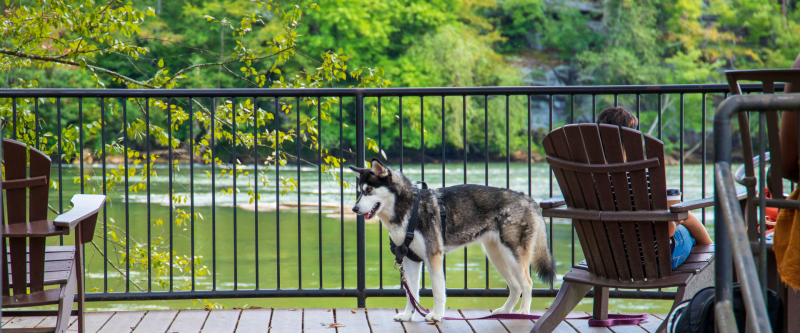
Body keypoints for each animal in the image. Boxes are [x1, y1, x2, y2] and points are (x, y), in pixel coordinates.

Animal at [350, 158, 556, 322]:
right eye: (359, 192)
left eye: (369, 190)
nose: (354, 209)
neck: (409, 210)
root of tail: (527, 198)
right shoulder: (410, 260)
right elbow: (411, 294)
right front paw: (408, 315)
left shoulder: (433, 256)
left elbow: (438, 291)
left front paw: (436, 315)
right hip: (497, 256)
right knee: (515, 287)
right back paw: (505, 311)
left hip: (513, 255)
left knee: (527, 284)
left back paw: (523, 312)